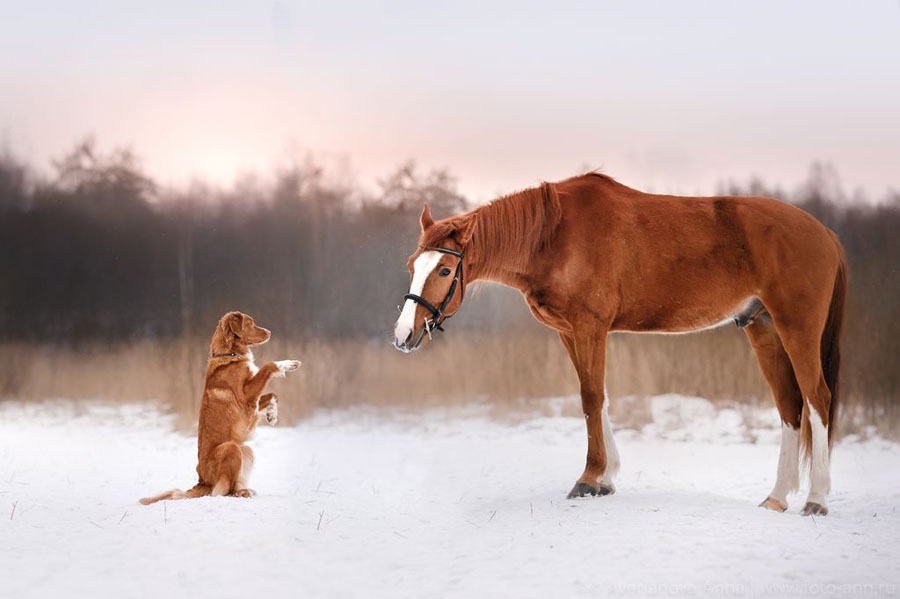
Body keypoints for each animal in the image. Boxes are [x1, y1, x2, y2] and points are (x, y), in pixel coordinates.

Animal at [141, 312, 300, 504]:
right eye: (251, 323)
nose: (269, 332)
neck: (231, 354)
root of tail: (202, 482)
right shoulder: (246, 396)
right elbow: (268, 366)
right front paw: (287, 364)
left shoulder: (251, 400)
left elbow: (273, 395)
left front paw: (272, 414)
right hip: (231, 447)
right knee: (224, 491)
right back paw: (241, 493)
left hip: (245, 449)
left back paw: (245, 490)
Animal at [392, 172, 844, 516]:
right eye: (413, 265)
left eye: (445, 269)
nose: (403, 336)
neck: (554, 236)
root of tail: (825, 232)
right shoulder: (569, 332)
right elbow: (598, 397)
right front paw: (606, 478)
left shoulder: (589, 327)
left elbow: (591, 397)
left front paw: (589, 479)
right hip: (762, 327)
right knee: (789, 406)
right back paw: (777, 497)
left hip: (796, 327)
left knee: (817, 398)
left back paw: (817, 500)